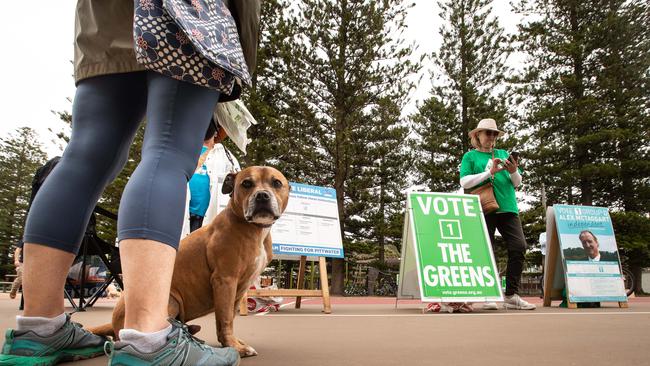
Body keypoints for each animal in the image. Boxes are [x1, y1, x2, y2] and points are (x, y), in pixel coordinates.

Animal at [88, 167, 288, 356]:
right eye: (246, 183)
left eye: (276, 183)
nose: (262, 195)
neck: (254, 228)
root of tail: (113, 322)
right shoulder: (225, 280)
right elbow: (224, 318)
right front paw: (233, 346)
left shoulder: (240, 288)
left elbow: (230, 316)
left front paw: (233, 341)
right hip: (171, 300)